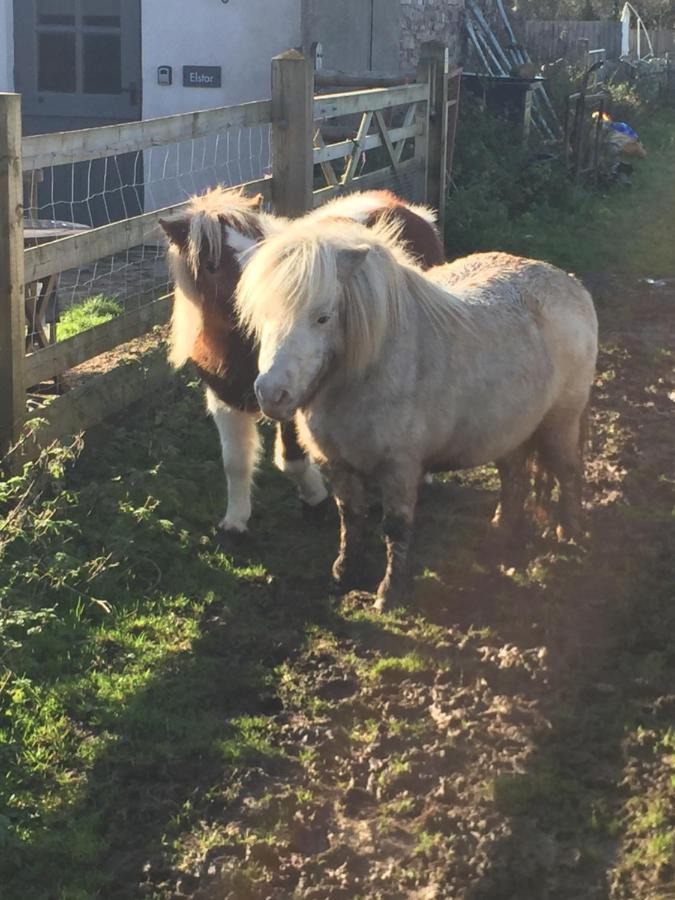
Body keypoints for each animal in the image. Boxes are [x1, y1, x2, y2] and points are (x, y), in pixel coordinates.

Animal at [158, 187, 444, 532]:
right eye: (212, 265)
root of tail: (403, 207)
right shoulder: (224, 398)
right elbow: (235, 462)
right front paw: (235, 520)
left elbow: (291, 460)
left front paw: (314, 495)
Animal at [238, 219, 596, 612]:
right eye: (263, 315)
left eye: (322, 317)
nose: (272, 394)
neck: (371, 367)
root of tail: (572, 284)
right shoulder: (340, 463)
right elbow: (350, 516)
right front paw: (344, 573)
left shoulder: (399, 467)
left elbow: (395, 526)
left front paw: (389, 592)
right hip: (510, 430)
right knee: (514, 477)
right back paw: (500, 534)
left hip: (560, 422)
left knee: (567, 472)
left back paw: (569, 533)